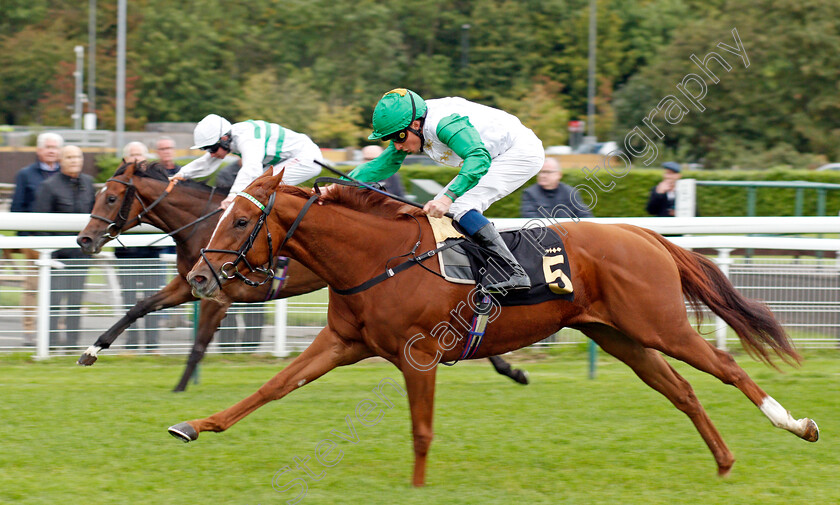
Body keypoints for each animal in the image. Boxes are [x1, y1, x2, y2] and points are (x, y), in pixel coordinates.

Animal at [77, 161, 524, 390]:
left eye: (111, 197)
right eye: (98, 195)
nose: (84, 239)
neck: (201, 225)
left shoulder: (219, 293)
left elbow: (200, 342)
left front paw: (181, 388)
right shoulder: (193, 283)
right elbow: (139, 307)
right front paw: (92, 350)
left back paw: (509, 368)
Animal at [172, 171, 820, 486]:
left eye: (243, 220)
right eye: (221, 212)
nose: (200, 275)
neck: (377, 256)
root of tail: (643, 233)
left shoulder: (417, 355)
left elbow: (421, 430)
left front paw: (416, 487)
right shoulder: (342, 342)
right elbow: (271, 388)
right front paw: (195, 425)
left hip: (660, 325)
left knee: (728, 368)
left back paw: (798, 425)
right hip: (622, 337)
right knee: (682, 391)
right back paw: (725, 461)